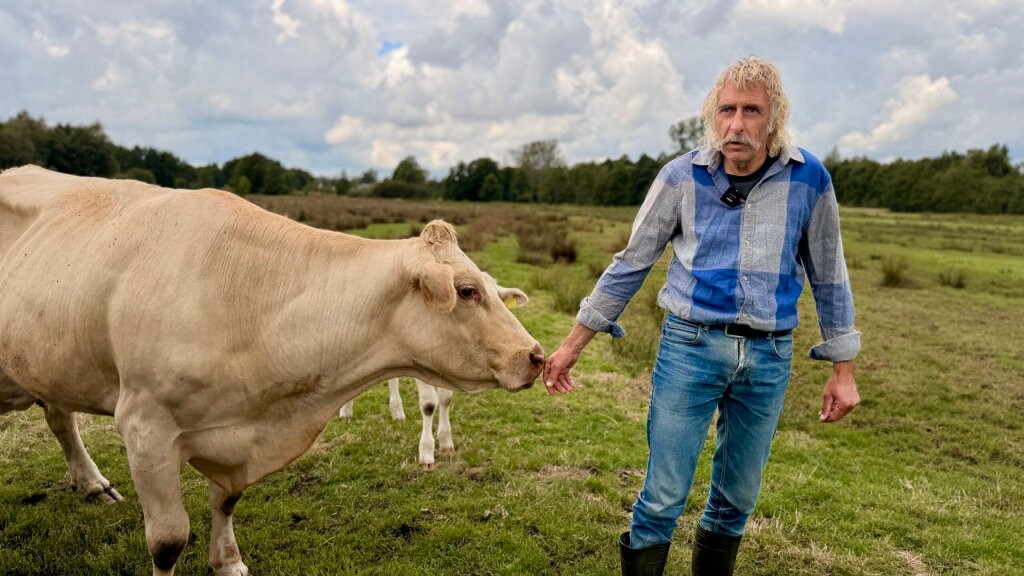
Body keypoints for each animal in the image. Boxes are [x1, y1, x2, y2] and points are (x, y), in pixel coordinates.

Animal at [339, 276, 528, 469]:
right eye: (468, 292)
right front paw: (426, 452)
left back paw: (397, 411)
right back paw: (346, 410)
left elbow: (446, 399)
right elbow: (429, 404)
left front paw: (445, 441)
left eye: (500, 300)